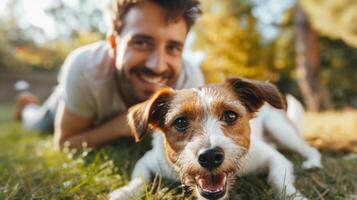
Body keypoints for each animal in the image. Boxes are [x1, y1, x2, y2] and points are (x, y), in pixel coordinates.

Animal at [109, 77, 320, 200]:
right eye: (180, 121)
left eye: (230, 115)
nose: (210, 156)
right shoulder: (149, 162)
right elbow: (139, 180)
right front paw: (123, 192)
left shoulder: (275, 158)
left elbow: (279, 181)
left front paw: (295, 195)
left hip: (281, 130)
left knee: (309, 148)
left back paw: (313, 162)